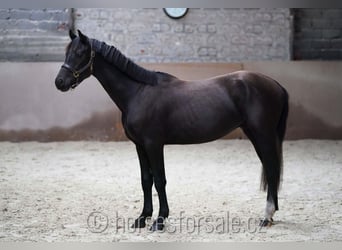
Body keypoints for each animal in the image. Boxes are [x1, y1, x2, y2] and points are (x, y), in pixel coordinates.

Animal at [55, 30, 288, 231]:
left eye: (79, 53)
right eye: (66, 52)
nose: (59, 82)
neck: (138, 92)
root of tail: (275, 84)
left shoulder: (154, 144)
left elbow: (159, 180)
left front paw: (159, 220)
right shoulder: (140, 145)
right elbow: (146, 180)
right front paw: (142, 218)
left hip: (263, 135)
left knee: (272, 169)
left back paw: (266, 215)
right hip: (255, 135)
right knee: (271, 169)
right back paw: (271, 214)